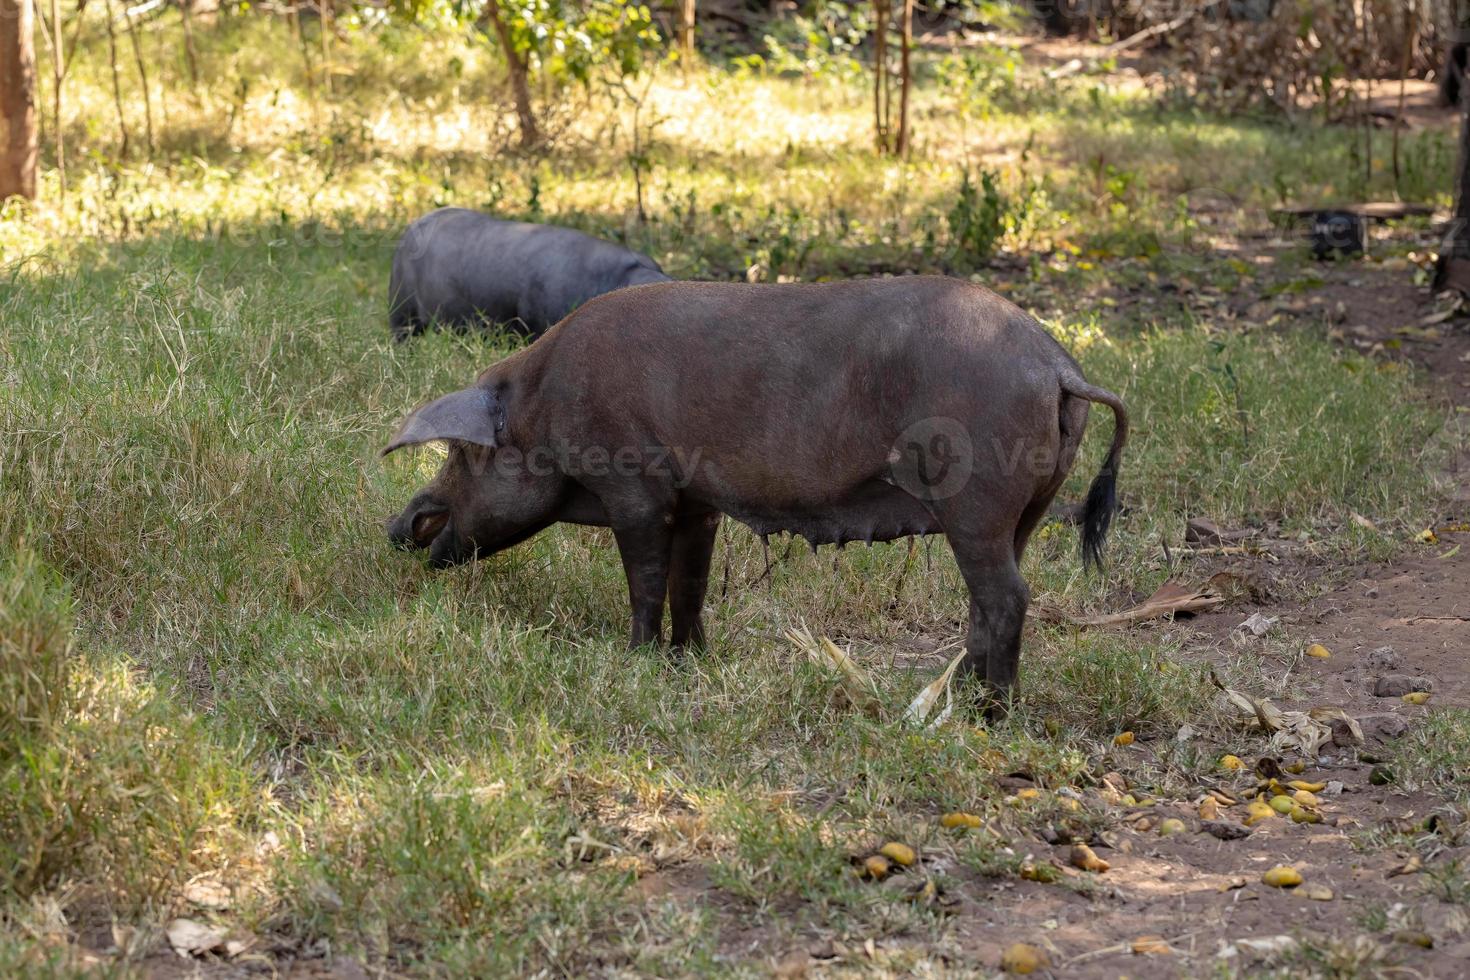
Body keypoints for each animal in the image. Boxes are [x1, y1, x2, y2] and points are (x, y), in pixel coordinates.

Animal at [382, 276, 1123, 714]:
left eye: (462, 452)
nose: (398, 524)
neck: (541, 401)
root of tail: (1056, 364)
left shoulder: (634, 483)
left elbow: (645, 578)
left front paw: (636, 660)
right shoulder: (698, 500)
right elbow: (690, 581)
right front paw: (690, 660)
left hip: (977, 503)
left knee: (1009, 595)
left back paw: (990, 715)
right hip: (1026, 507)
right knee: (990, 595)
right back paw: (956, 699)